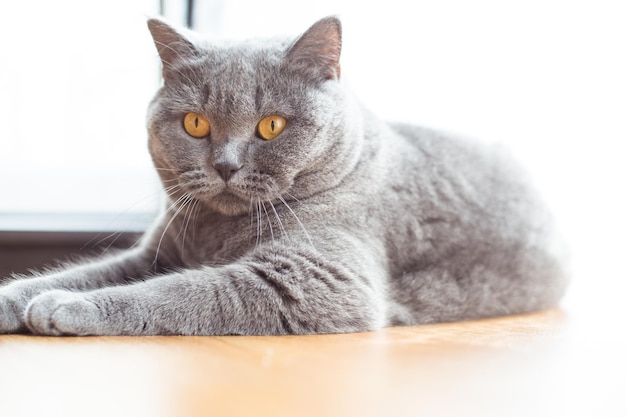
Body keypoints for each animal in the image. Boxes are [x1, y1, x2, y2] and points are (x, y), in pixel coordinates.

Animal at [0, 17, 568, 334]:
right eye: (195, 123)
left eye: (271, 125)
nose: (226, 165)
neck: (215, 234)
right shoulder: (154, 254)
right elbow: (84, 273)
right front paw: (19, 300)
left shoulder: (321, 277)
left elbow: (178, 292)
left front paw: (65, 307)